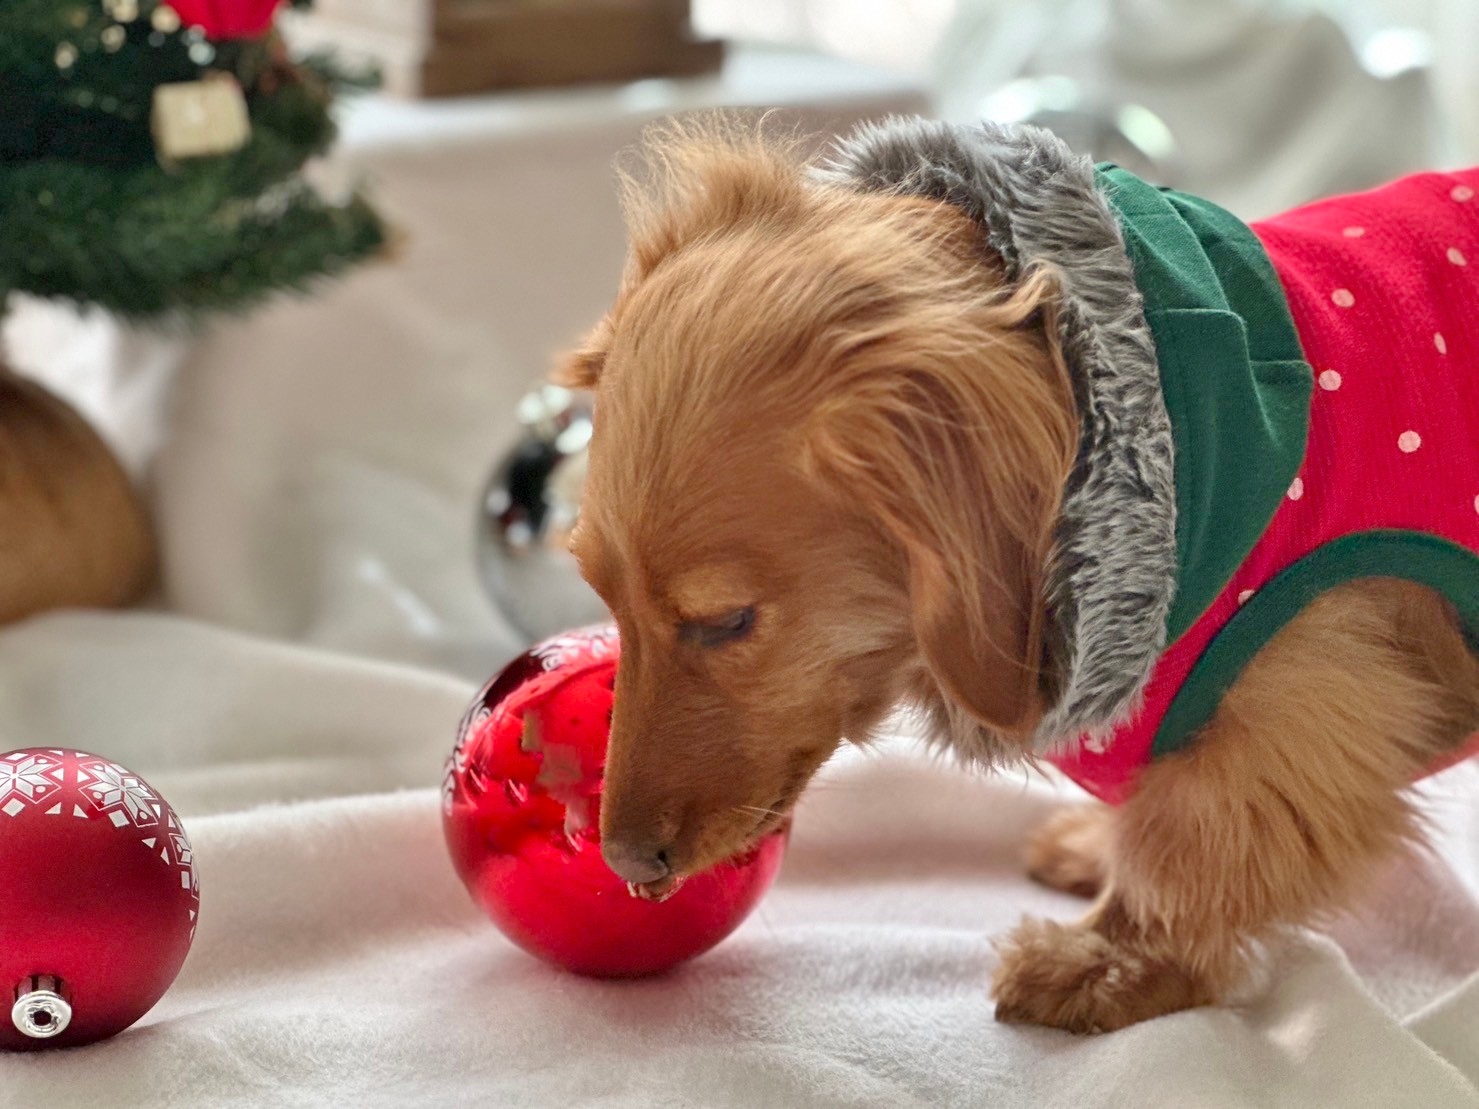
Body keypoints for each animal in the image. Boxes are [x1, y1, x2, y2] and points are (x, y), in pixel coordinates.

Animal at [558, 116, 1479, 1033]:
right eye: (604, 600)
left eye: (727, 621)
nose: (625, 864)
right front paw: (1096, 852)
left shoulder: (1289, 718)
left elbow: (1187, 851)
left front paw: (1105, 962)